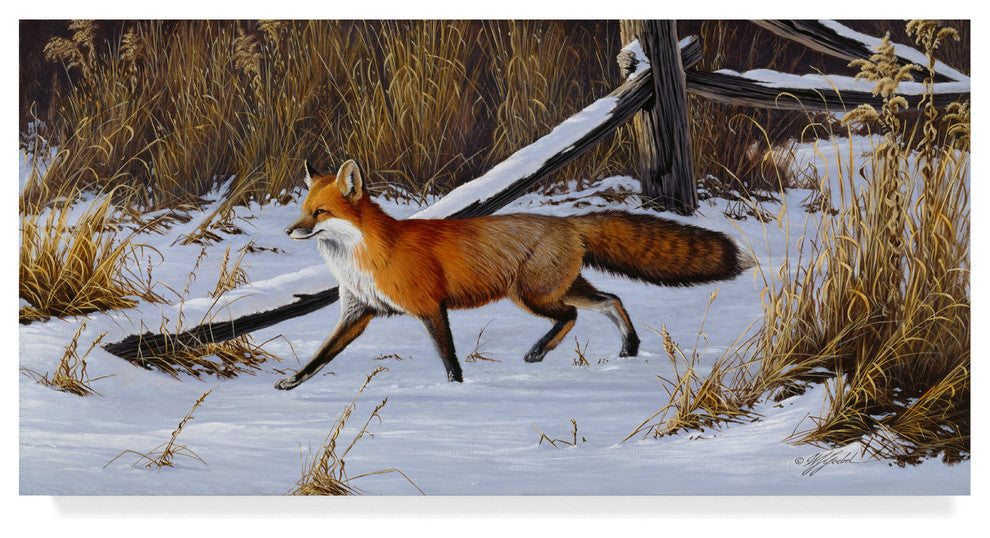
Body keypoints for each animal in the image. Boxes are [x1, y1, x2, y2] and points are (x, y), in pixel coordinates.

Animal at [275, 159, 756, 390]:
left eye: (319, 213)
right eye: (302, 209)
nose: (288, 230)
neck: (366, 255)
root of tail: (567, 223)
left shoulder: (430, 307)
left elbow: (448, 358)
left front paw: (456, 390)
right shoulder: (358, 312)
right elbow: (320, 355)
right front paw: (292, 383)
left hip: (532, 296)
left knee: (573, 316)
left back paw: (539, 352)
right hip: (561, 289)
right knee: (612, 301)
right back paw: (629, 348)